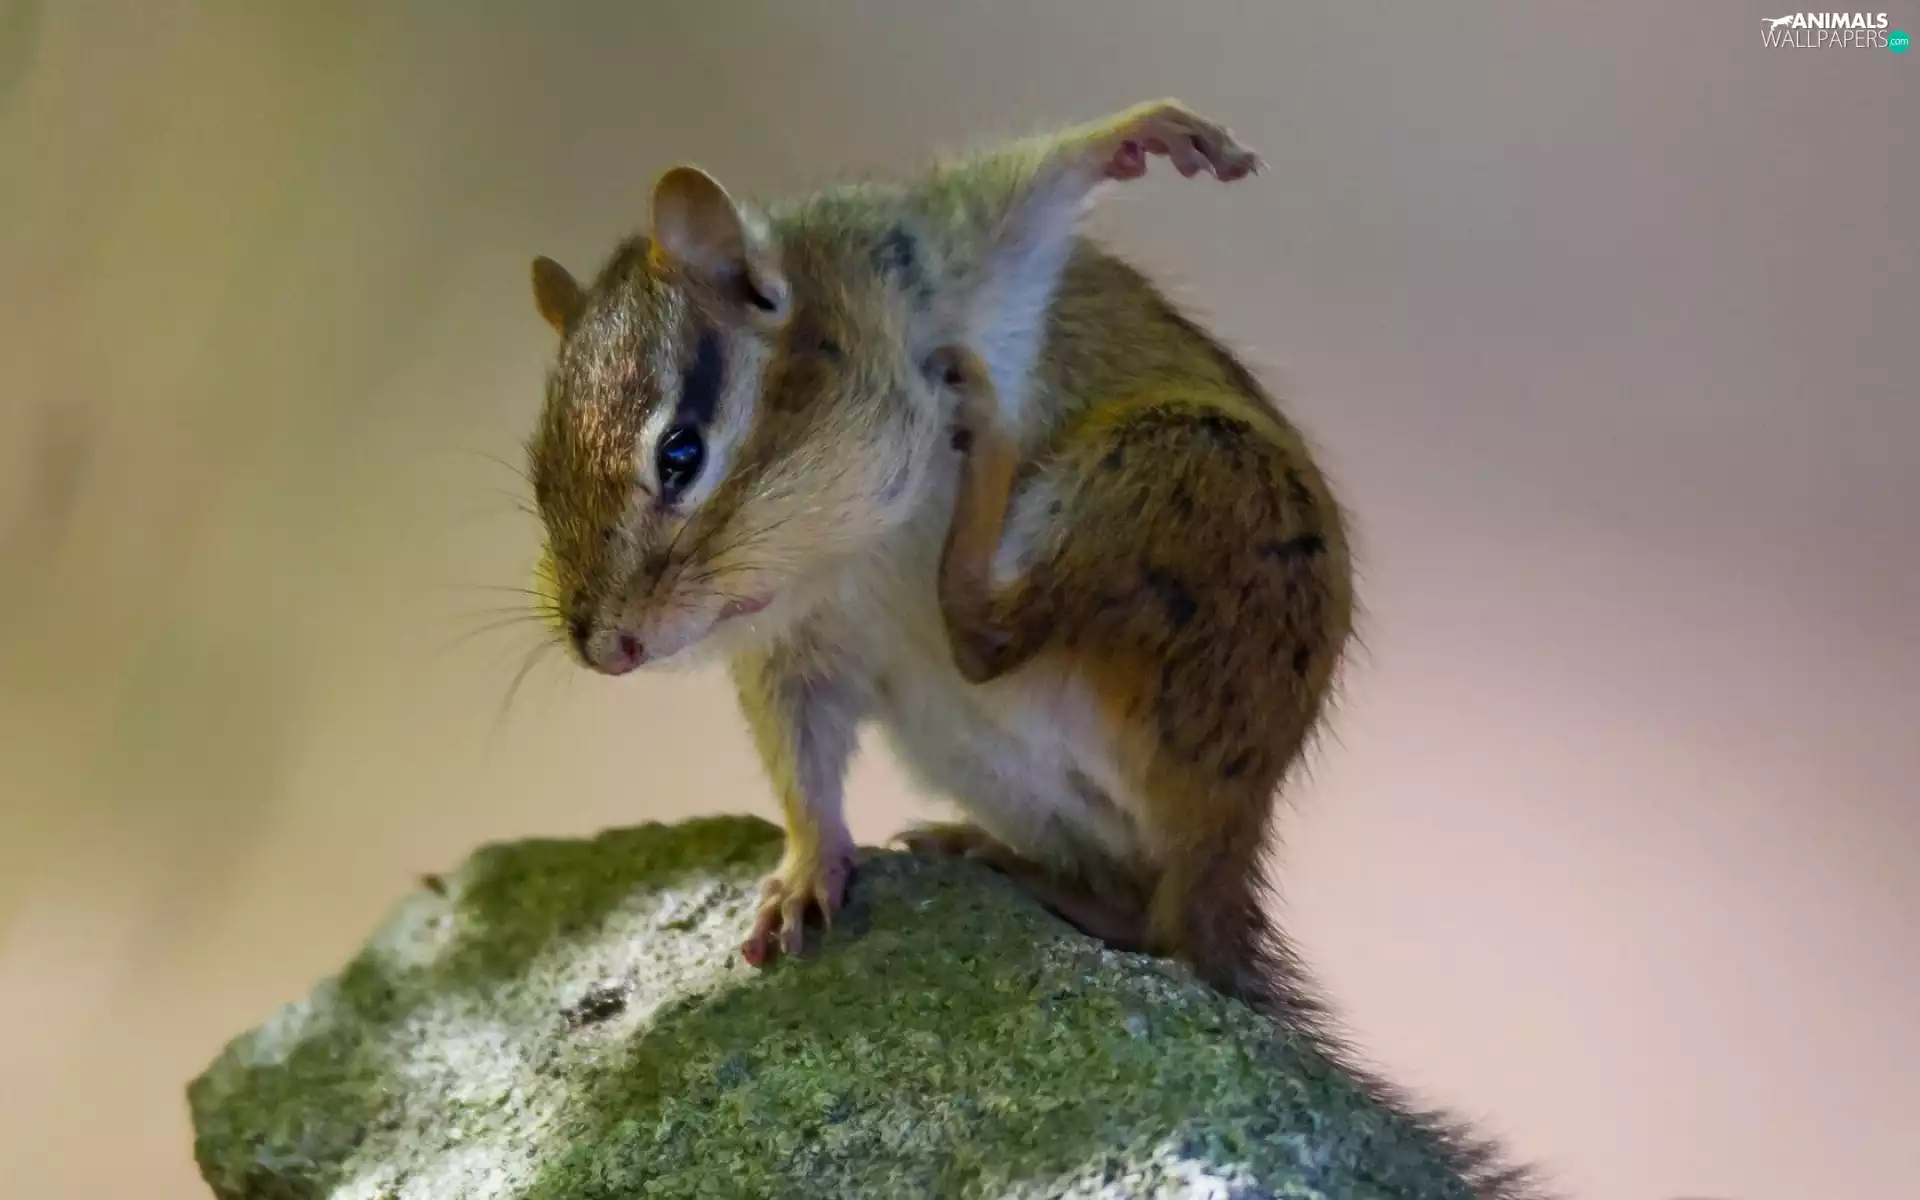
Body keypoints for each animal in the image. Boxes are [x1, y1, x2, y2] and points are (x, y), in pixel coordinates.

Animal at [521, 100, 1354, 1018]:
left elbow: (1033, 186)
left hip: (1171, 469)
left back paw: (984, 445)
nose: (603, 649)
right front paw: (807, 869)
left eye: (679, 454)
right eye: (537, 479)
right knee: (1143, 915)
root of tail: (1229, 832)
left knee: (986, 639)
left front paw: (1144, 134)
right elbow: (799, 758)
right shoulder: (789, 651)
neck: (842, 541)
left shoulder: (942, 255)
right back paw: (1004, 859)